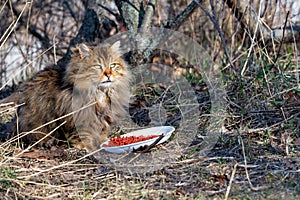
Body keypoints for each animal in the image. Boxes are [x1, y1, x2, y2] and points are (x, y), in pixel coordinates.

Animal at [0, 41, 131, 152]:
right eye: (98, 66)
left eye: (113, 65)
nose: (108, 74)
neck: (99, 92)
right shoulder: (74, 116)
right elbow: (80, 134)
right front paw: (84, 145)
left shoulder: (105, 115)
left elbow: (103, 130)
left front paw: (104, 142)